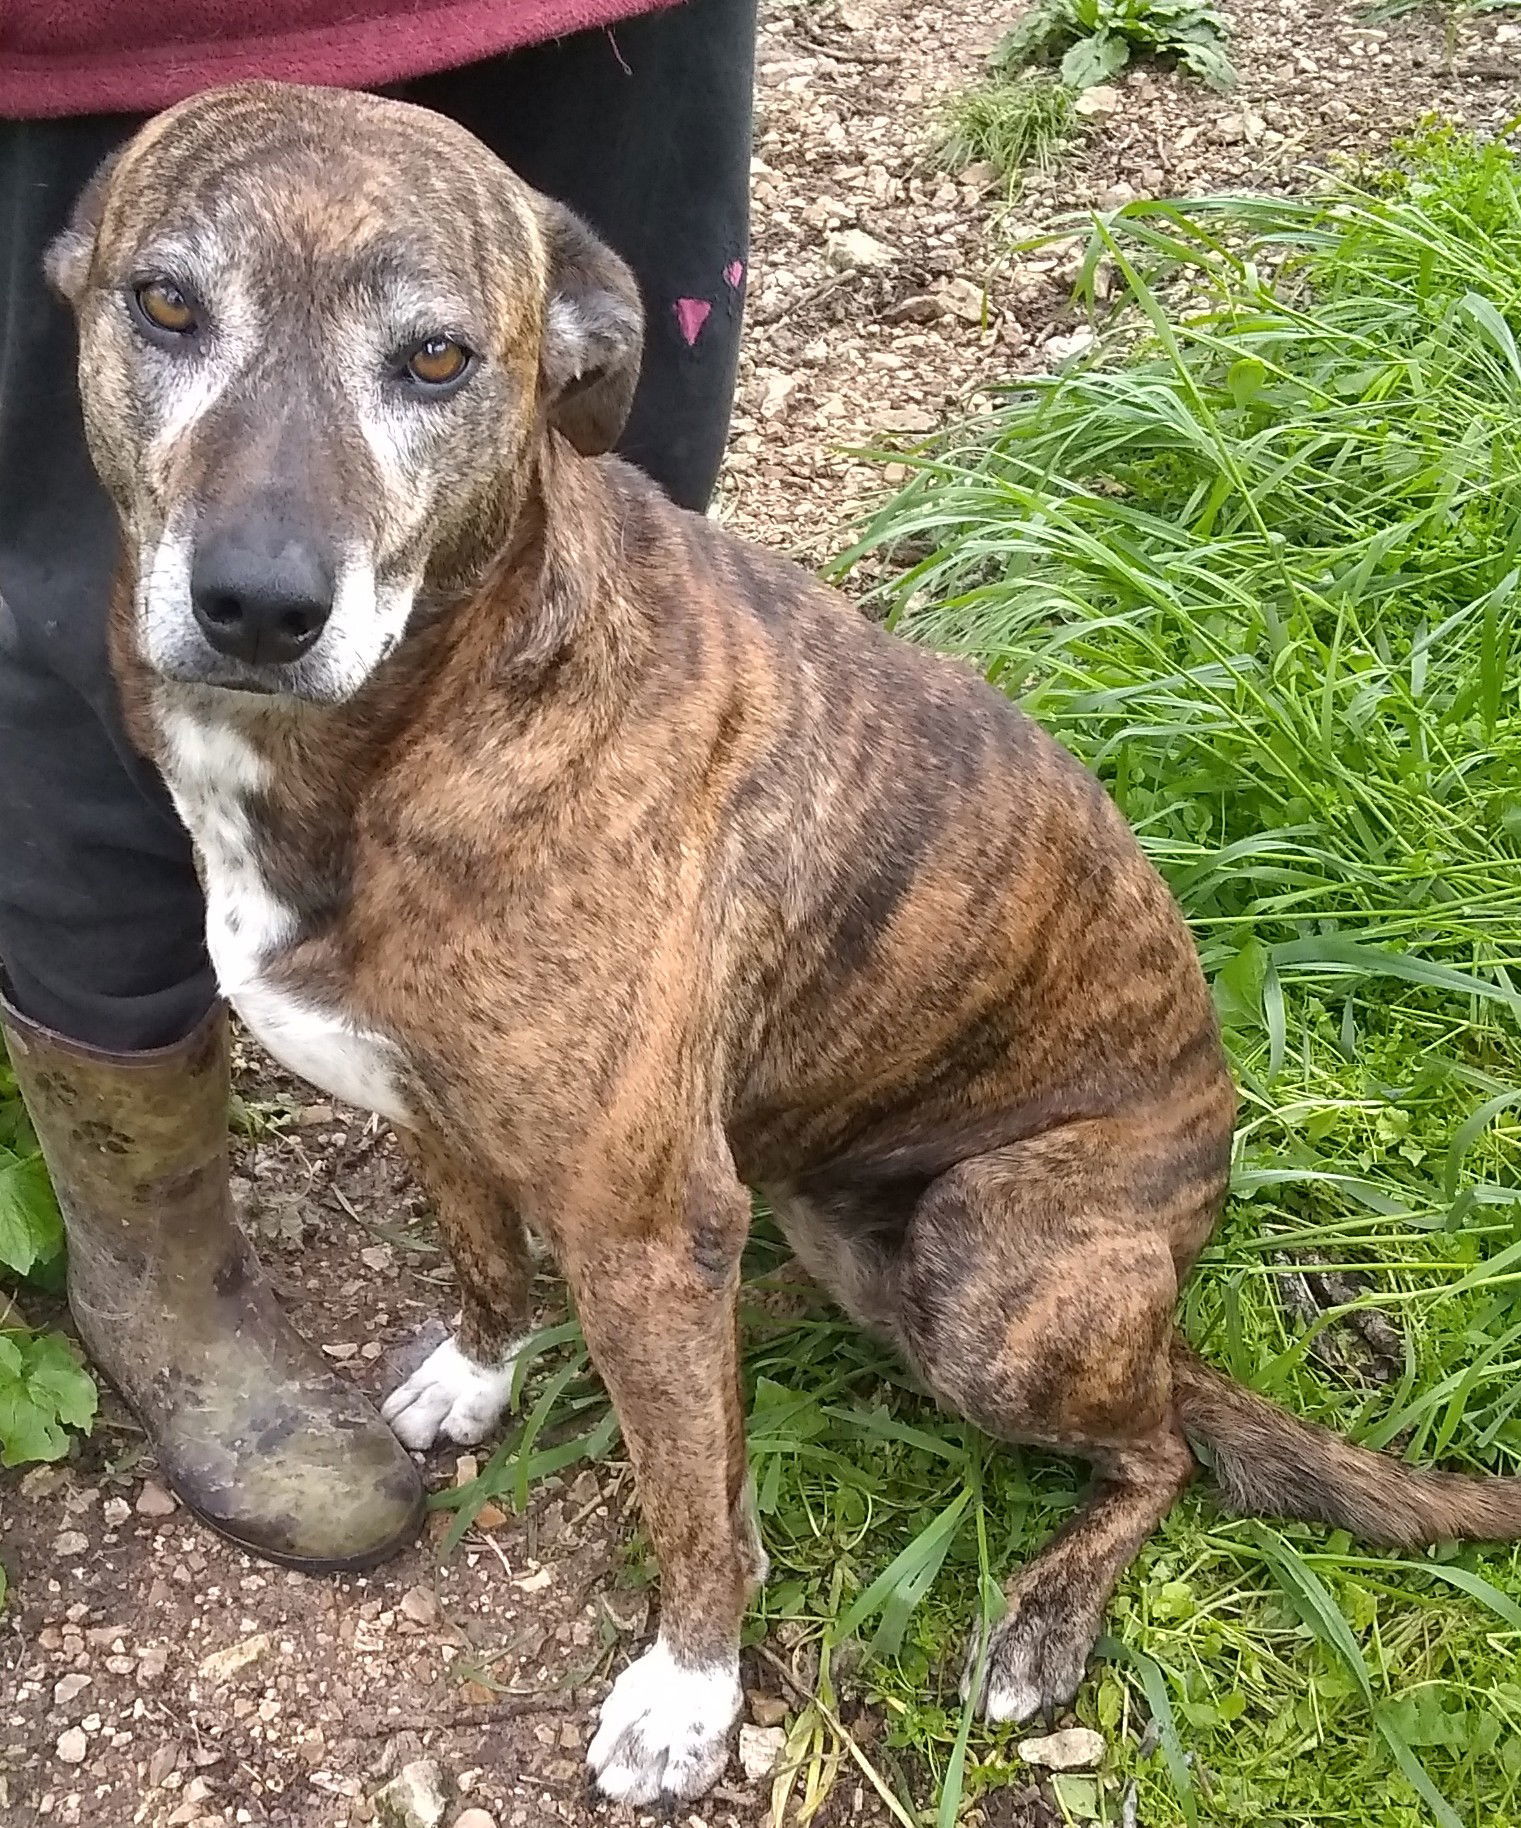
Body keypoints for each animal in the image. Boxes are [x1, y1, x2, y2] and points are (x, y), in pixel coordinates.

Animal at [47, 78, 1521, 1806]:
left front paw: (689, 1694)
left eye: (437, 359)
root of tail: (1174, 1266)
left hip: (996, 1268)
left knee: (1155, 1448)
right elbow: (487, 1258)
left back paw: (1045, 1616)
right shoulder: (440, 1114)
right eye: (165, 305)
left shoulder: (644, 1222)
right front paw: (479, 1373)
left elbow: (692, 1508)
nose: (259, 604)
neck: (429, 718)